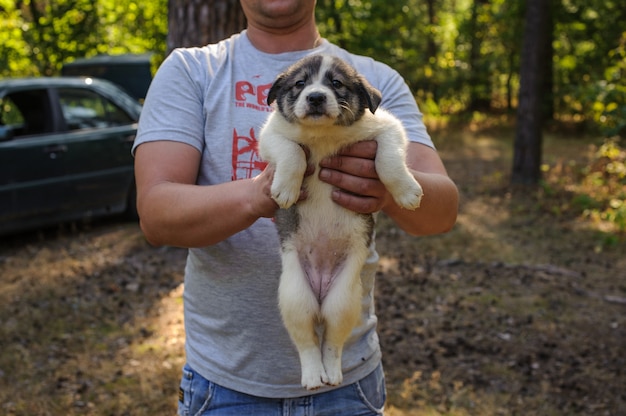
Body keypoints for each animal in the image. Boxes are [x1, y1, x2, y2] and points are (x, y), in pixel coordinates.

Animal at [256, 55, 422, 390]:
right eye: (300, 84)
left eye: (336, 83)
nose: (316, 98)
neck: (324, 134)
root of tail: (320, 295)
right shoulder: (271, 134)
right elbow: (291, 151)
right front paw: (286, 189)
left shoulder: (388, 127)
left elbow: (389, 159)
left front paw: (406, 191)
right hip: (295, 298)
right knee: (307, 344)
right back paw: (312, 376)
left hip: (343, 302)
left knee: (332, 343)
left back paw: (331, 373)